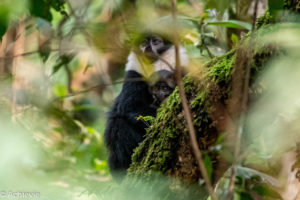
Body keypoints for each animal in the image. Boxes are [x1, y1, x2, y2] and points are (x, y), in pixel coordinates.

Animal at [103, 34, 188, 180]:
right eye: (143, 42)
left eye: (156, 41)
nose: (147, 48)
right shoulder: (134, 74)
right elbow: (129, 108)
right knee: (117, 124)